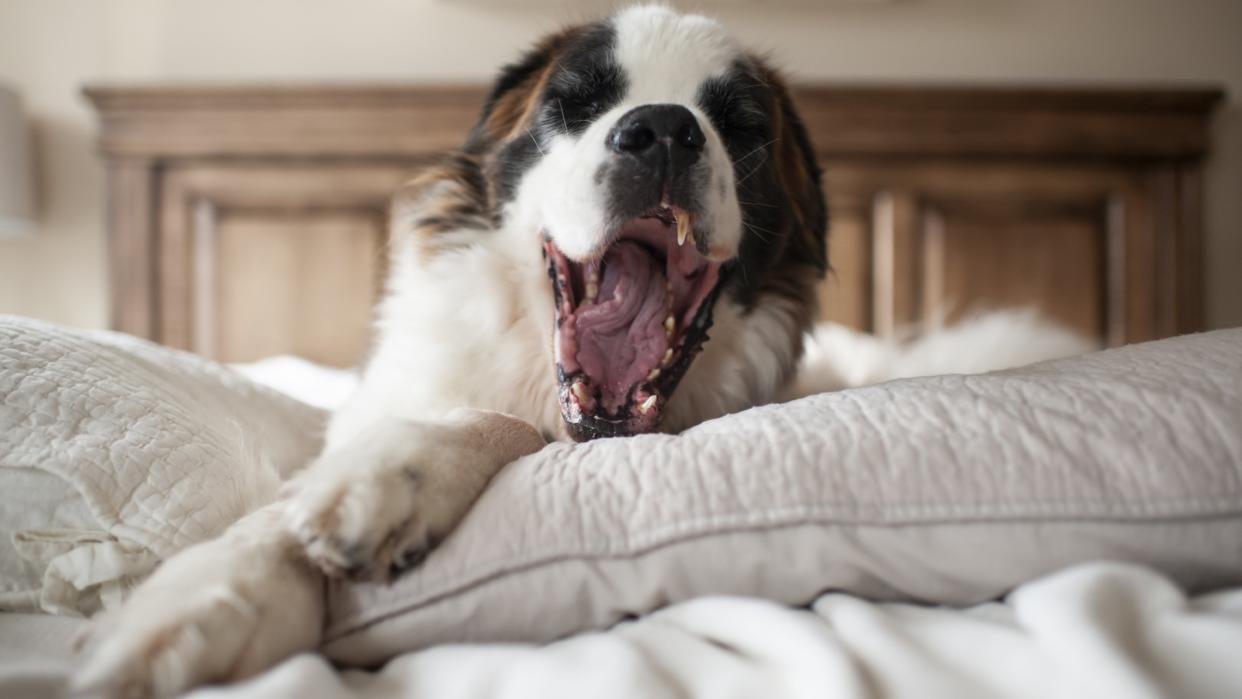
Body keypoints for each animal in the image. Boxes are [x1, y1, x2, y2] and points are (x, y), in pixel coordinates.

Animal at [70, 6, 1087, 699]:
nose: (664, 128)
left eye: (740, 126)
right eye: (574, 104)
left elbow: (493, 429)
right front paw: (203, 602)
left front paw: (398, 475)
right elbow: (273, 522)